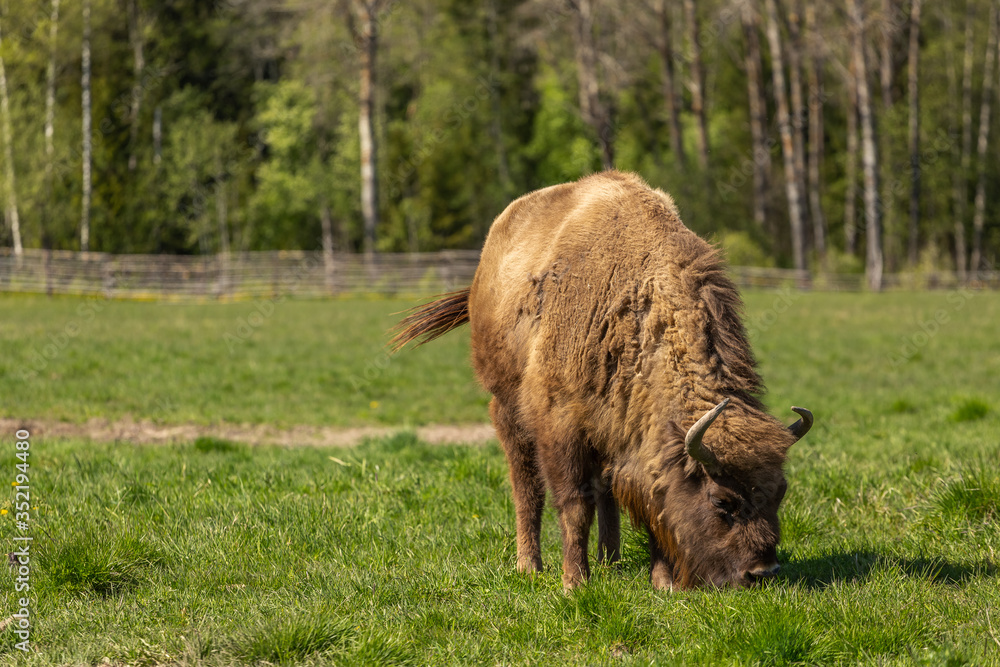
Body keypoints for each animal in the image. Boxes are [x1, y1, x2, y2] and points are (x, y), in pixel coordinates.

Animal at [392, 171, 813, 590]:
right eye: (723, 501)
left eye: (781, 492)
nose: (762, 572)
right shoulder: (561, 426)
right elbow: (575, 504)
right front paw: (574, 583)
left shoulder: (628, 432)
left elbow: (642, 499)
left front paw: (662, 582)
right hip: (508, 409)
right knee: (526, 484)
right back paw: (530, 565)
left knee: (605, 490)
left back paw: (610, 561)